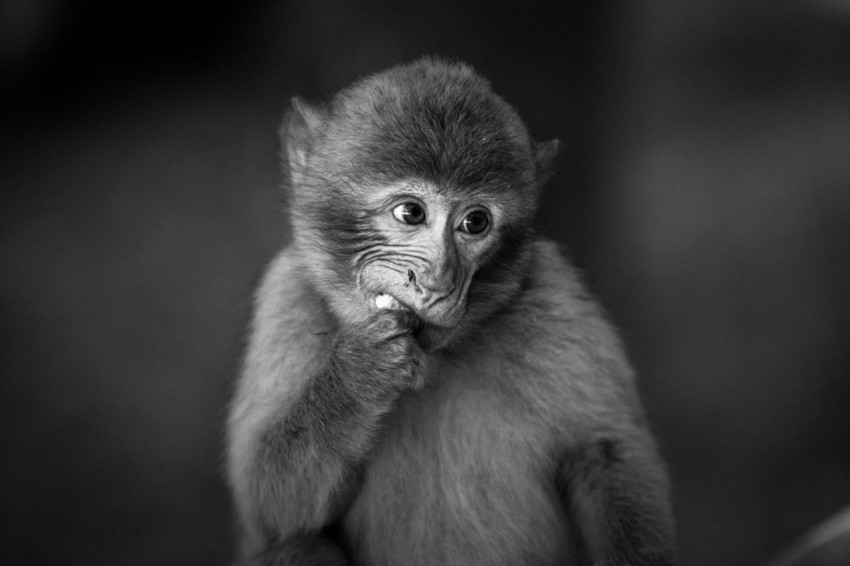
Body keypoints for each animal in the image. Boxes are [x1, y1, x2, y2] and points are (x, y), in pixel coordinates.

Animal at [226, 57, 677, 566]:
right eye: (410, 213)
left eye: (475, 222)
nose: (439, 280)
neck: (436, 359)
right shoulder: (287, 299)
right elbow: (272, 511)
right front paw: (361, 374)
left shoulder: (554, 295)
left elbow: (606, 452)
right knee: (300, 546)